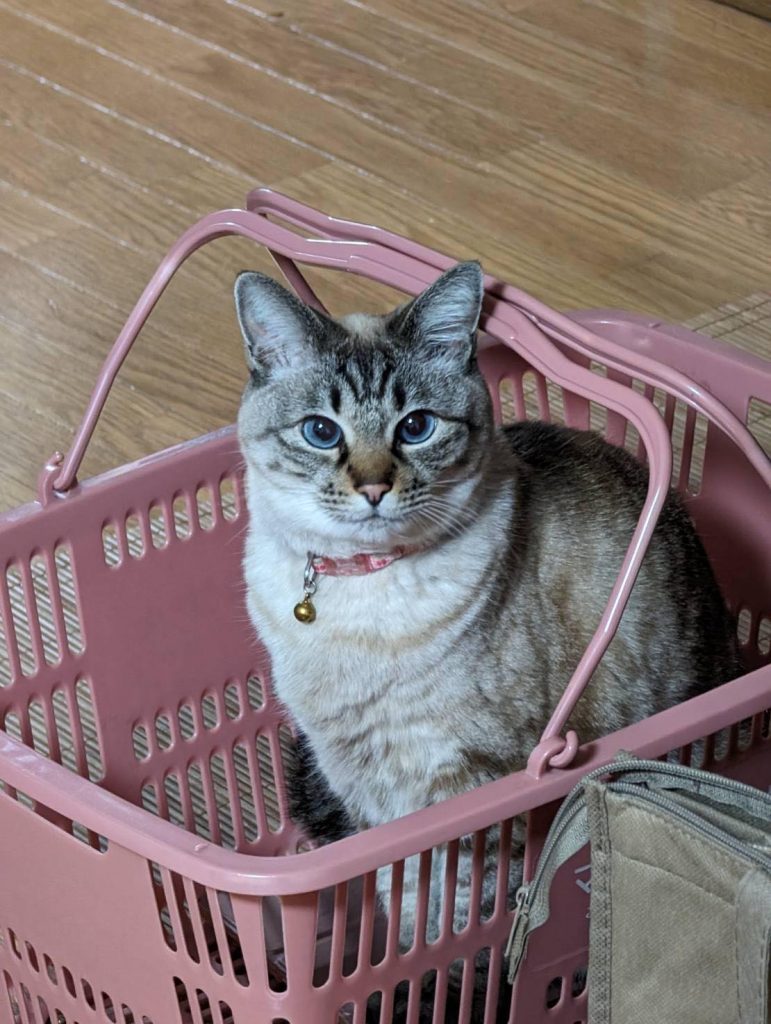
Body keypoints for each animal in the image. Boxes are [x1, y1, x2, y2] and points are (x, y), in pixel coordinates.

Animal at [234, 261, 740, 1022]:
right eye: (321, 432)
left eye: (415, 427)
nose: (375, 489)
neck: (359, 599)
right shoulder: (362, 790)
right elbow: (405, 913)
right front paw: (405, 984)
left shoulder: (467, 788)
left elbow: (456, 927)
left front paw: (447, 994)